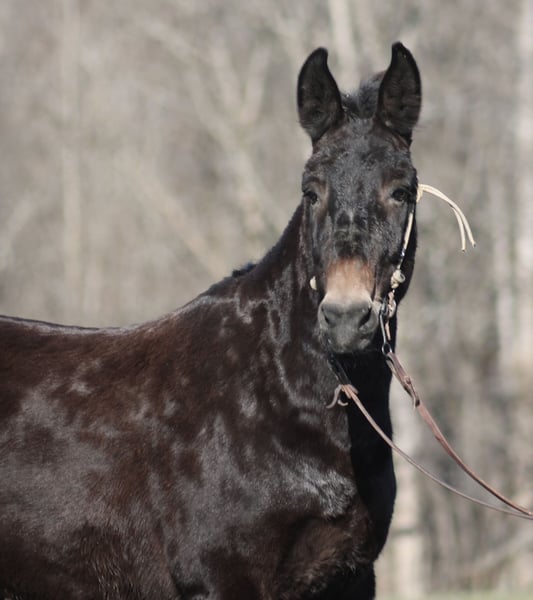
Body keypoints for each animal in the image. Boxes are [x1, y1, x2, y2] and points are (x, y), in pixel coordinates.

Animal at [0, 42, 421, 599]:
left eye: (402, 191)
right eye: (311, 192)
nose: (346, 318)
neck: (272, 394)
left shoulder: (350, 577)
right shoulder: (224, 579)